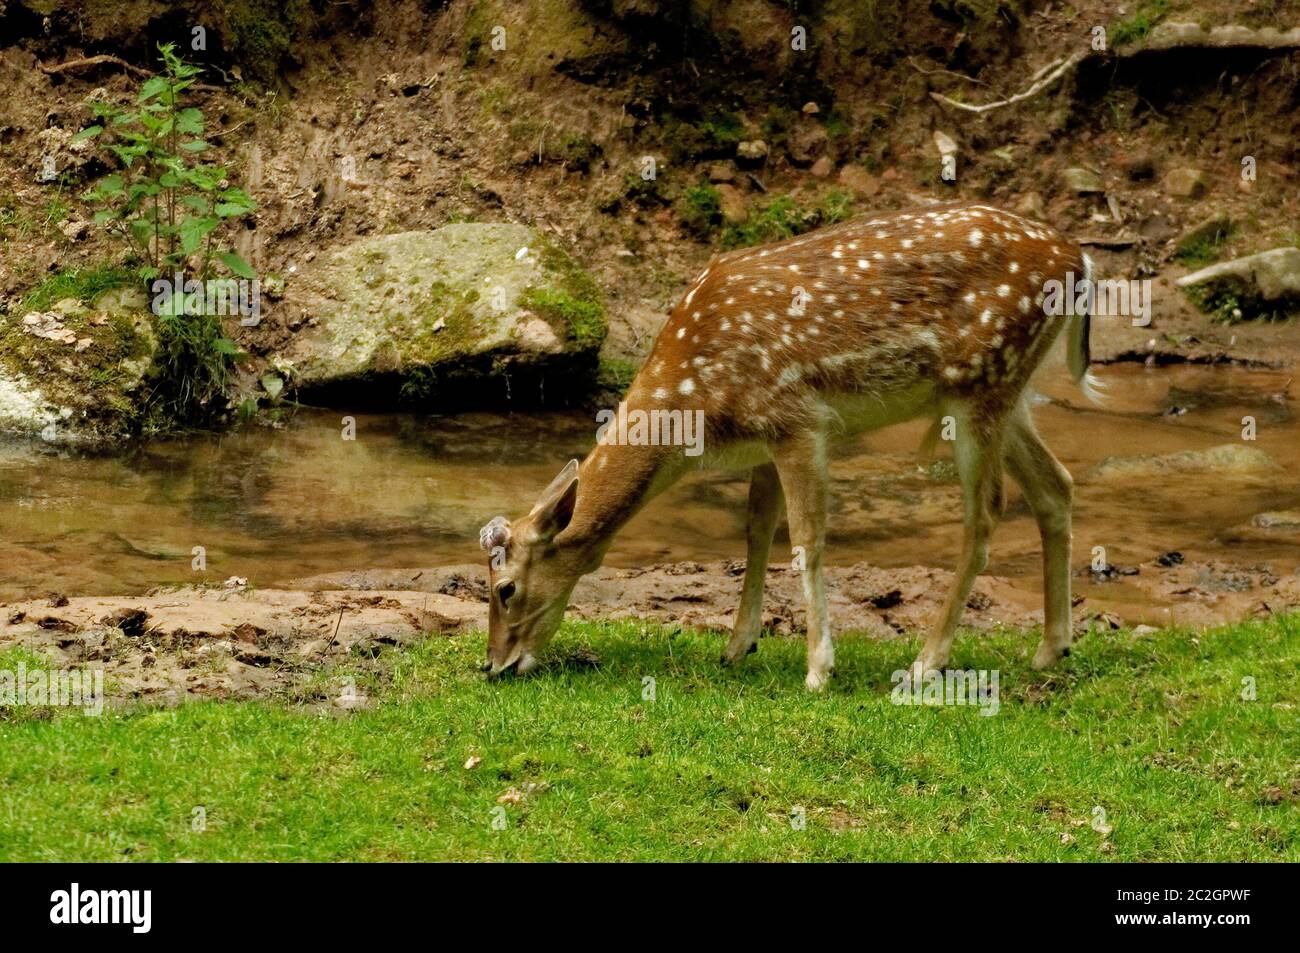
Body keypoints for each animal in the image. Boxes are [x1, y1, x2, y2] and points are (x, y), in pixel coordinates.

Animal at [479, 201, 1097, 690]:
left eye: (505, 588)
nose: (493, 665)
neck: (695, 410)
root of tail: (1080, 260)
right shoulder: (763, 441)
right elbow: (757, 531)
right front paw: (738, 645)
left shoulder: (797, 420)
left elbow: (808, 539)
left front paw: (819, 669)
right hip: (1007, 393)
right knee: (1056, 485)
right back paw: (1051, 648)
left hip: (982, 385)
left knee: (986, 513)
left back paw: (927, 664)